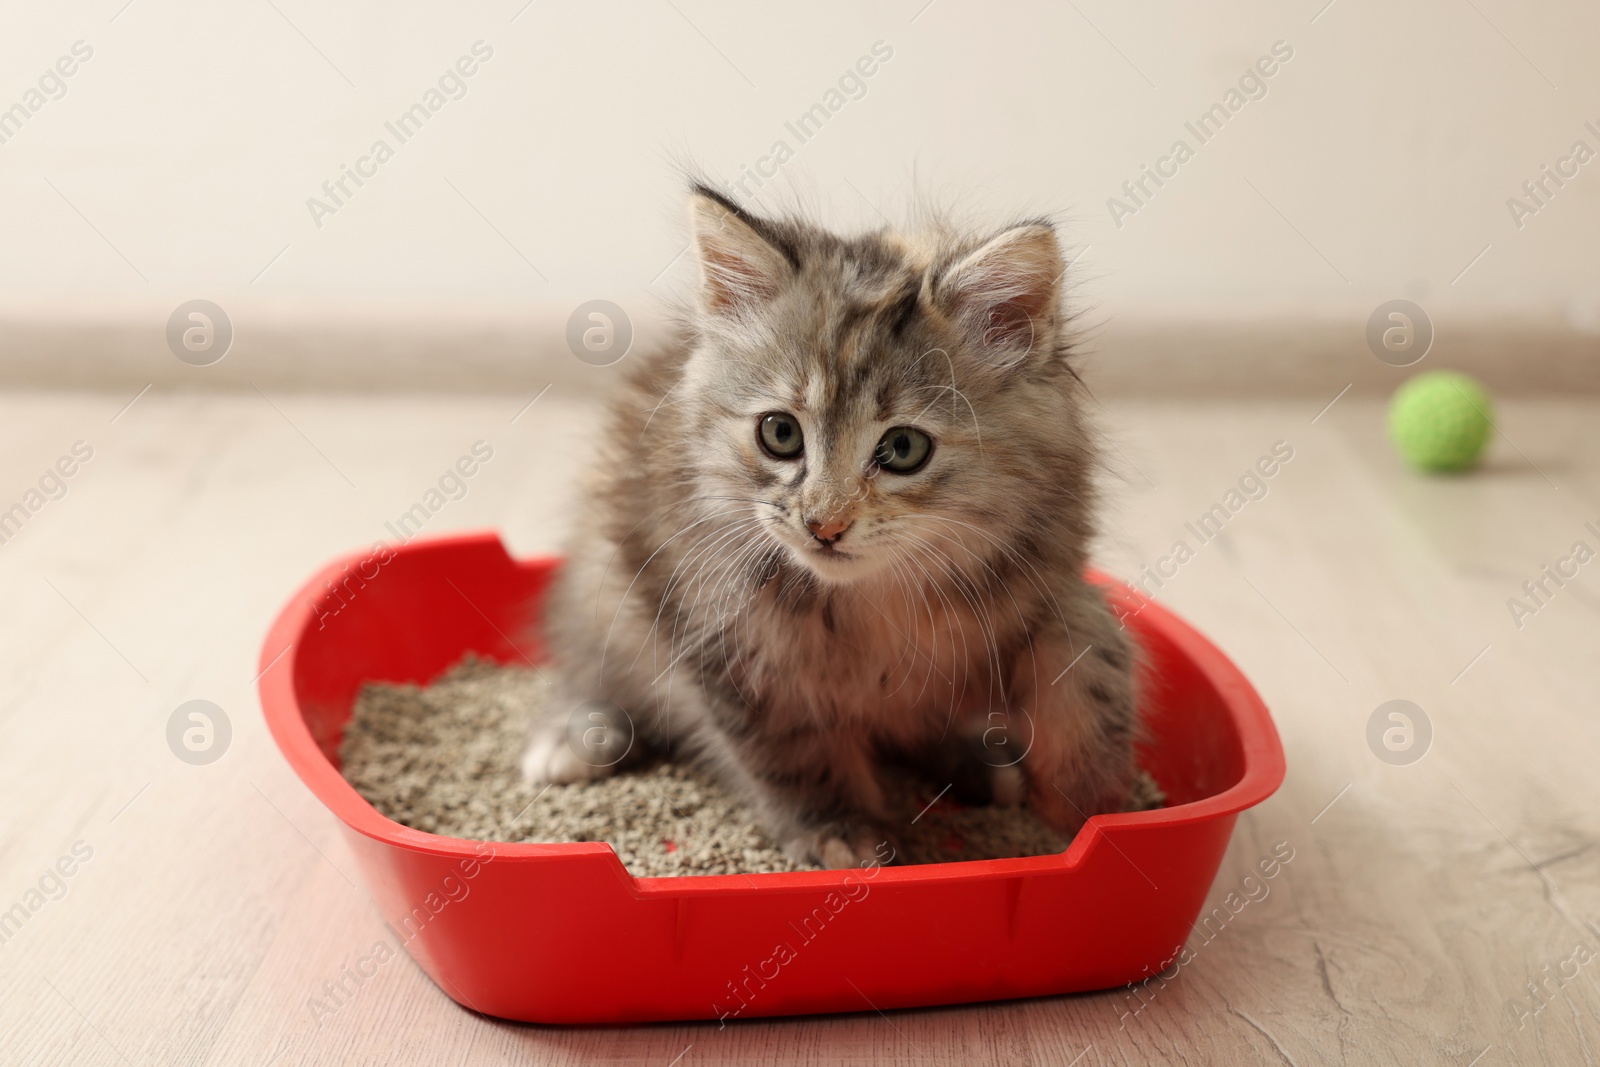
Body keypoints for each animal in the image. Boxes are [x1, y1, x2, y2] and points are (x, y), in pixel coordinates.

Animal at [524, 183, 1139, 870]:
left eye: (903, 448)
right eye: (780, 433)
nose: (824, 524)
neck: (877, 597)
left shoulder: (1050, 576)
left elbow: (1091, 655)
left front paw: (1090, 802)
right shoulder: (723, 638)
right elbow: (792, 751)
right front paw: (838, 830)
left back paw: (981, 764)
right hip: (602, 586)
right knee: (586, 668)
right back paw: (573, 739)